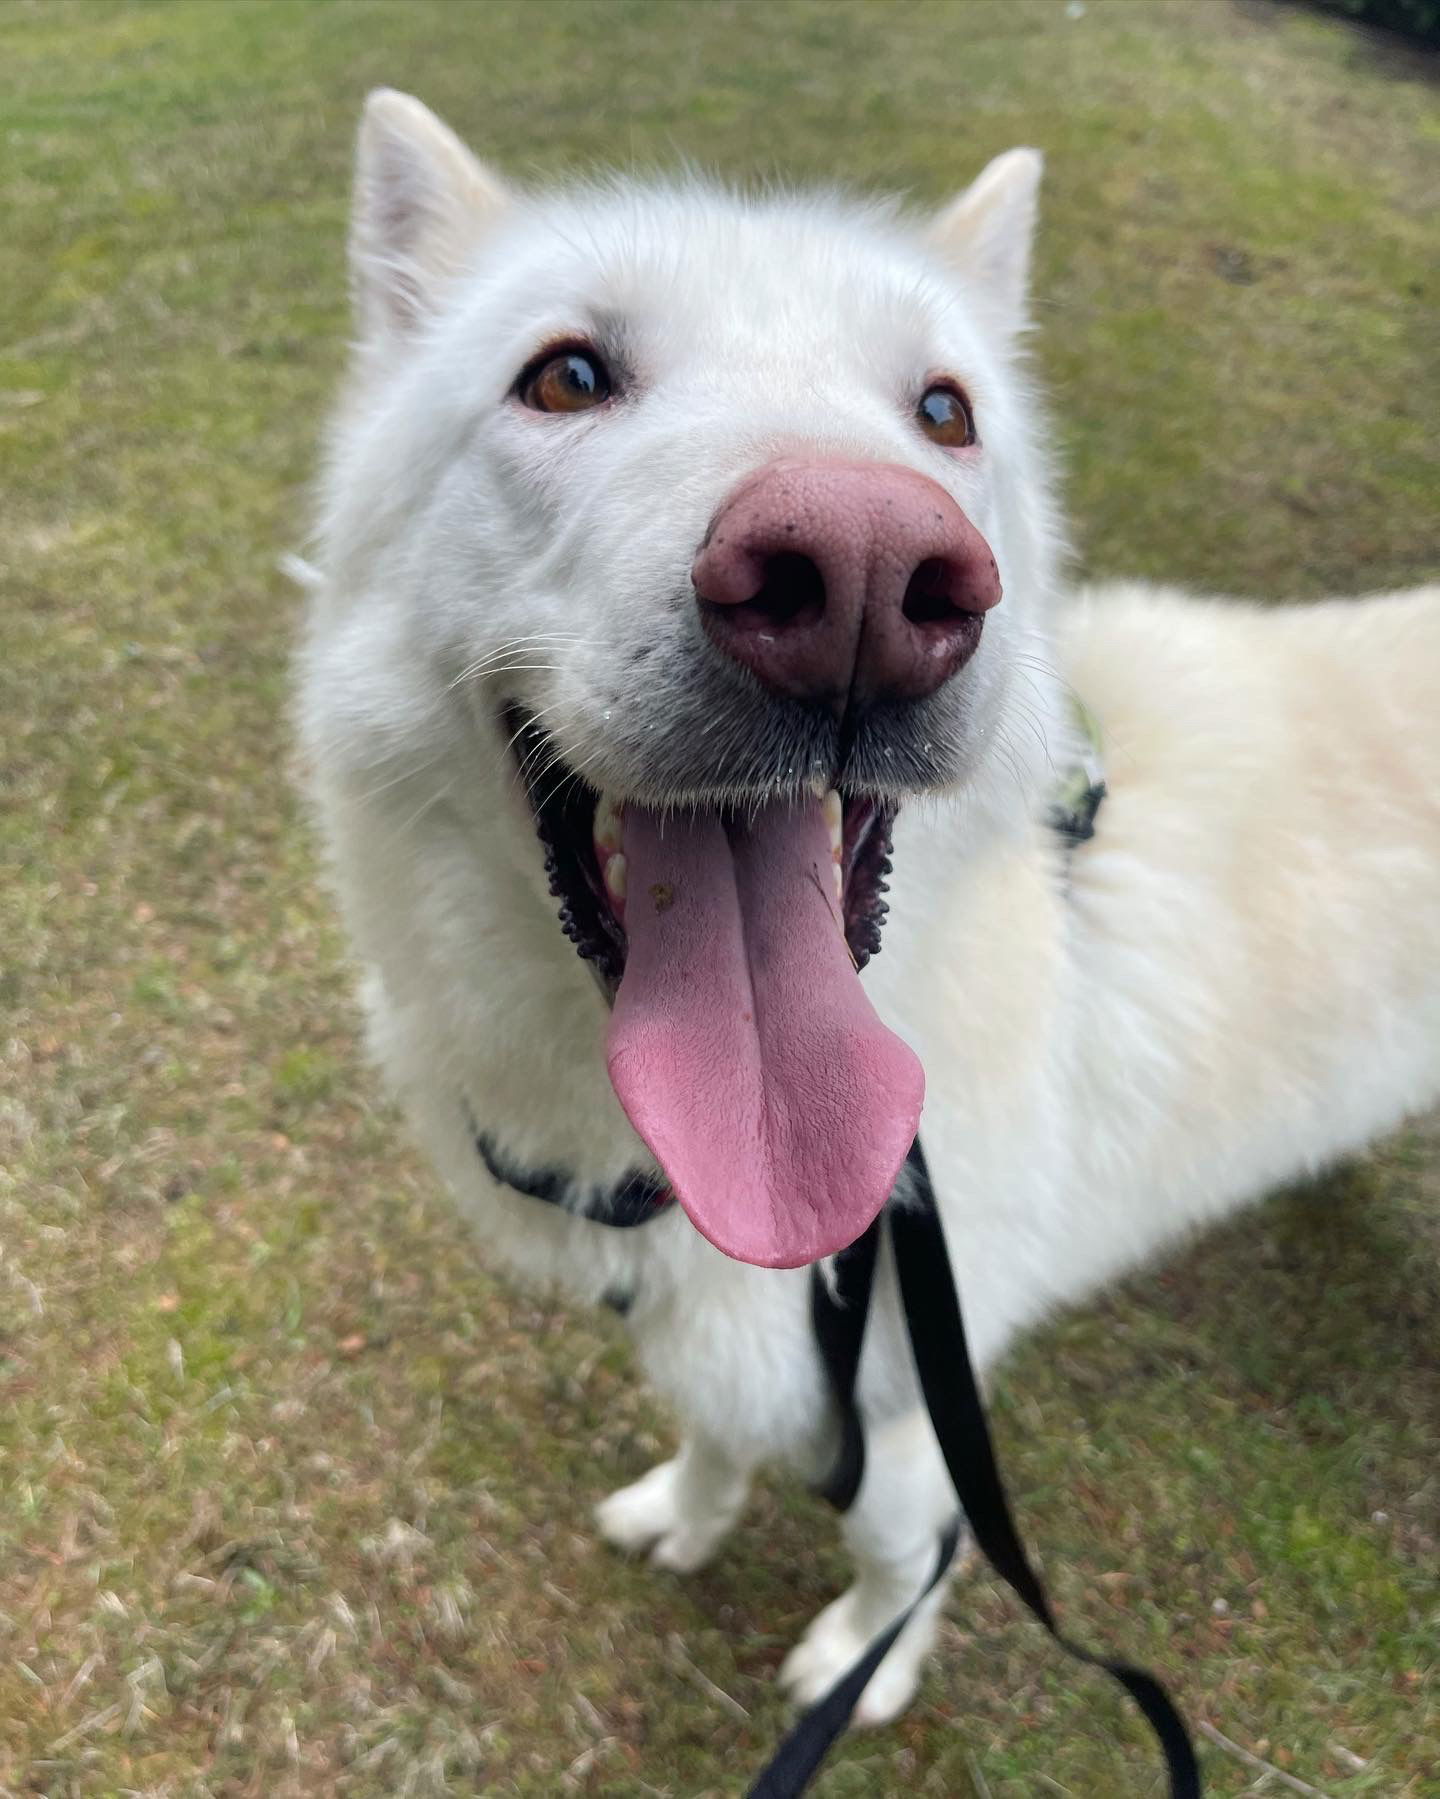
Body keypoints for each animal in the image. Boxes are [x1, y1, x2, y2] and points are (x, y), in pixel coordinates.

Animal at [295, 91, 1440, 1734]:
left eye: (945, 412)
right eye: (566, 375)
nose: (861, 575)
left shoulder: (909, 1431)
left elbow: (896, 1562)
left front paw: (859, 1663)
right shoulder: (736, 1358)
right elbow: (714, 1439)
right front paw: (686, 1515)